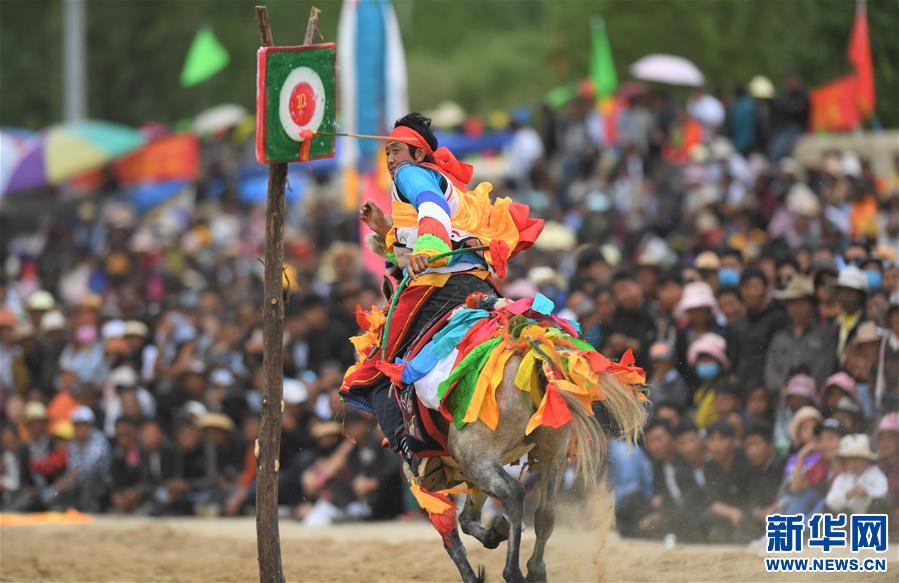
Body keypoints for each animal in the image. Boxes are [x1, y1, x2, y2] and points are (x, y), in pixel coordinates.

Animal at [424, 352, 648, 583]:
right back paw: (535, 568)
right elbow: (464, 521)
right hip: (550, 454)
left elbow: (449, 531)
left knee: (513, 493)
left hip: (476, 458)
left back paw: (513, 571)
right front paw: (494, 533)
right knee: (545, 514)